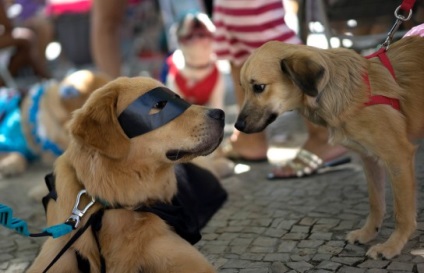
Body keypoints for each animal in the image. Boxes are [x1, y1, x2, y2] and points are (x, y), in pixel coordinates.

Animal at [235, 35, 424, 258]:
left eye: (259, 87)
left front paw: (392, 245)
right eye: (244, 88)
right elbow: (376, 202)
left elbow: (402, 212)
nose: (237, 126)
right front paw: (368, 233)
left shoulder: (398, 156)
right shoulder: (370, 159)